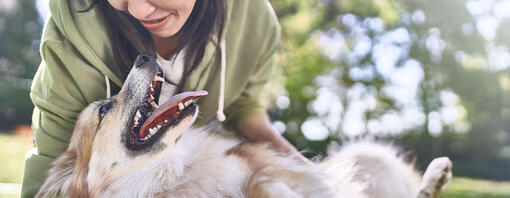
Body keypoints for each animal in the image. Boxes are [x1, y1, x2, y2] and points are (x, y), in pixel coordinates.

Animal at [35, 54, 450, 198]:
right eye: (104, 109)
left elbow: (266, 182)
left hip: (367, 153)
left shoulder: (260, 167)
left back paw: (436, 175)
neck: (168, 177)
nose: (143, 54)